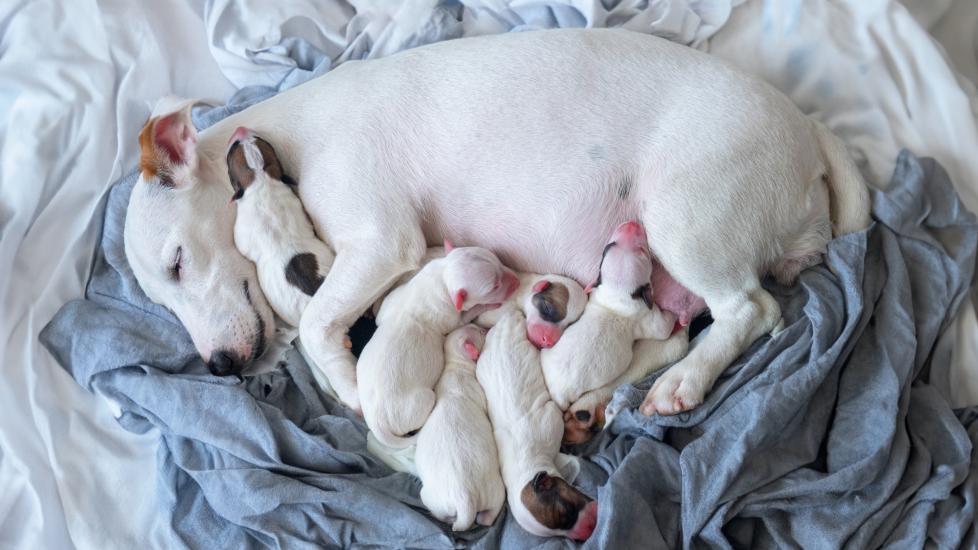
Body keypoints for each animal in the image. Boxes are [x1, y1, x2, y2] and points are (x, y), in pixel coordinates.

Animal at [476, 310, 600, 544]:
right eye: (560, 531)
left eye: (566, 512)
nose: (587, 533)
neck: (529, 465)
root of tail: (505, 320)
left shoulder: (552, 417)